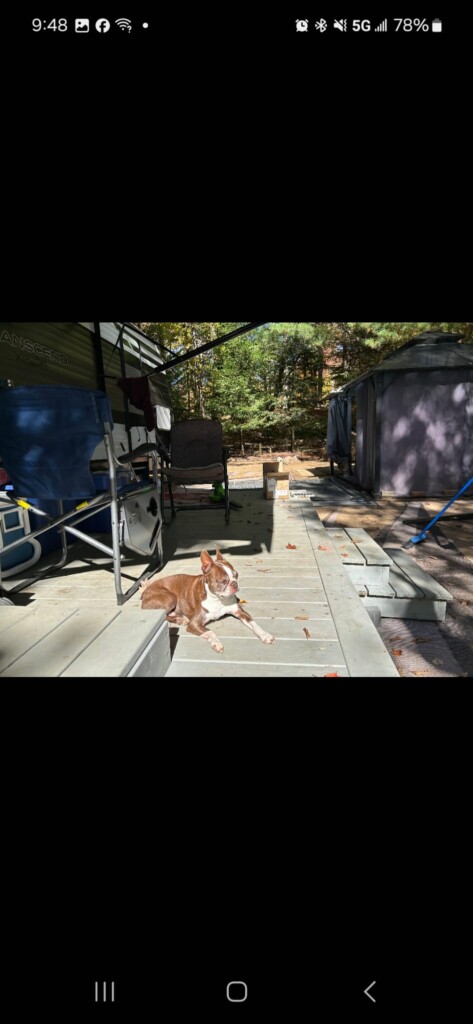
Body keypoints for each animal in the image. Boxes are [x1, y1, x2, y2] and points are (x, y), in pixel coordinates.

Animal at [139, 548, 275, 653]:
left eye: (236, 575)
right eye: (223, 581)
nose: (235, 584)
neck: (218, 600)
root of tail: (146, 590)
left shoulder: (240, 612)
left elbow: (254, 623)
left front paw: (265, 635)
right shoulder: (194, 624)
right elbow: (210, 632)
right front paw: (217, 643)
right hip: (170, 598)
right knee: (162, 615)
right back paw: (180, 619)